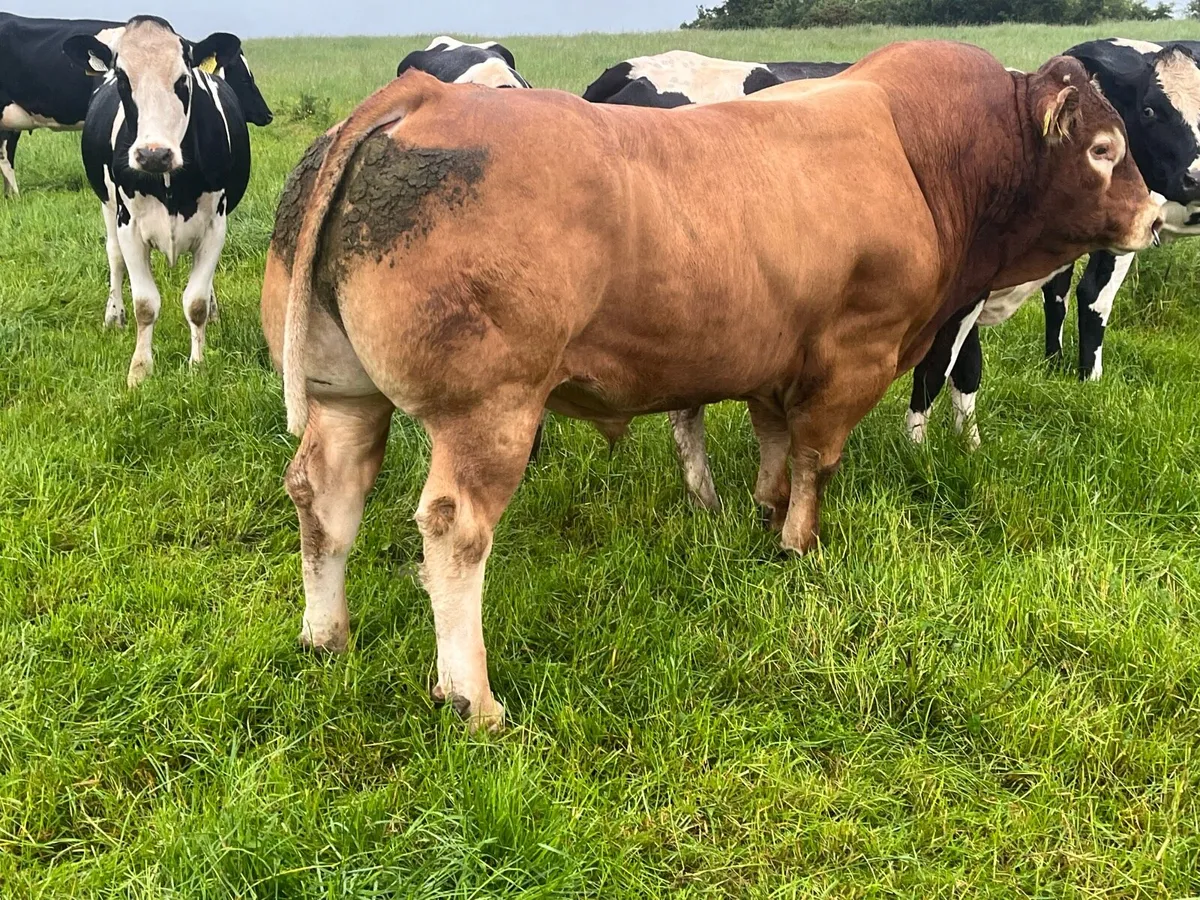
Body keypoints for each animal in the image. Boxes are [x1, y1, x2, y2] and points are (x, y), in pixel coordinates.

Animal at [63, 16, 255, 387]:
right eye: (123, 78)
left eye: (183, 78)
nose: (154, 154)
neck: (170, 185)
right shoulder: (129, 225)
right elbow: (145, 305)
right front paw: (139, 370)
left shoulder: (216, 224)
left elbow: (195, 301)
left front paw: (197, 365)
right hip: (108, 206)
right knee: (114, 257)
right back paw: (114, 315)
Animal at [261, 41, 1159, 731]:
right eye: (1104, 150)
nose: (1153, 217)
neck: (924, 152)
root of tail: (417, 98)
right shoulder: (853, 353)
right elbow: (817, 456)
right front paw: (799, 541)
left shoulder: (776, 354)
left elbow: (772, 441)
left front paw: (763, 511)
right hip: (490, 412)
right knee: (455, 531)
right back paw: (473, 698)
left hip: (346, 395)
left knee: (324, 496)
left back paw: (324, 636)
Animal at [907, 38, 1200, 445]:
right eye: (1150, 109)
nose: (1197, 179)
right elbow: (940, 368)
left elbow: (964, 367)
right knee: (1090, 296)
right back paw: (1088, 379)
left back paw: (1056, 363)